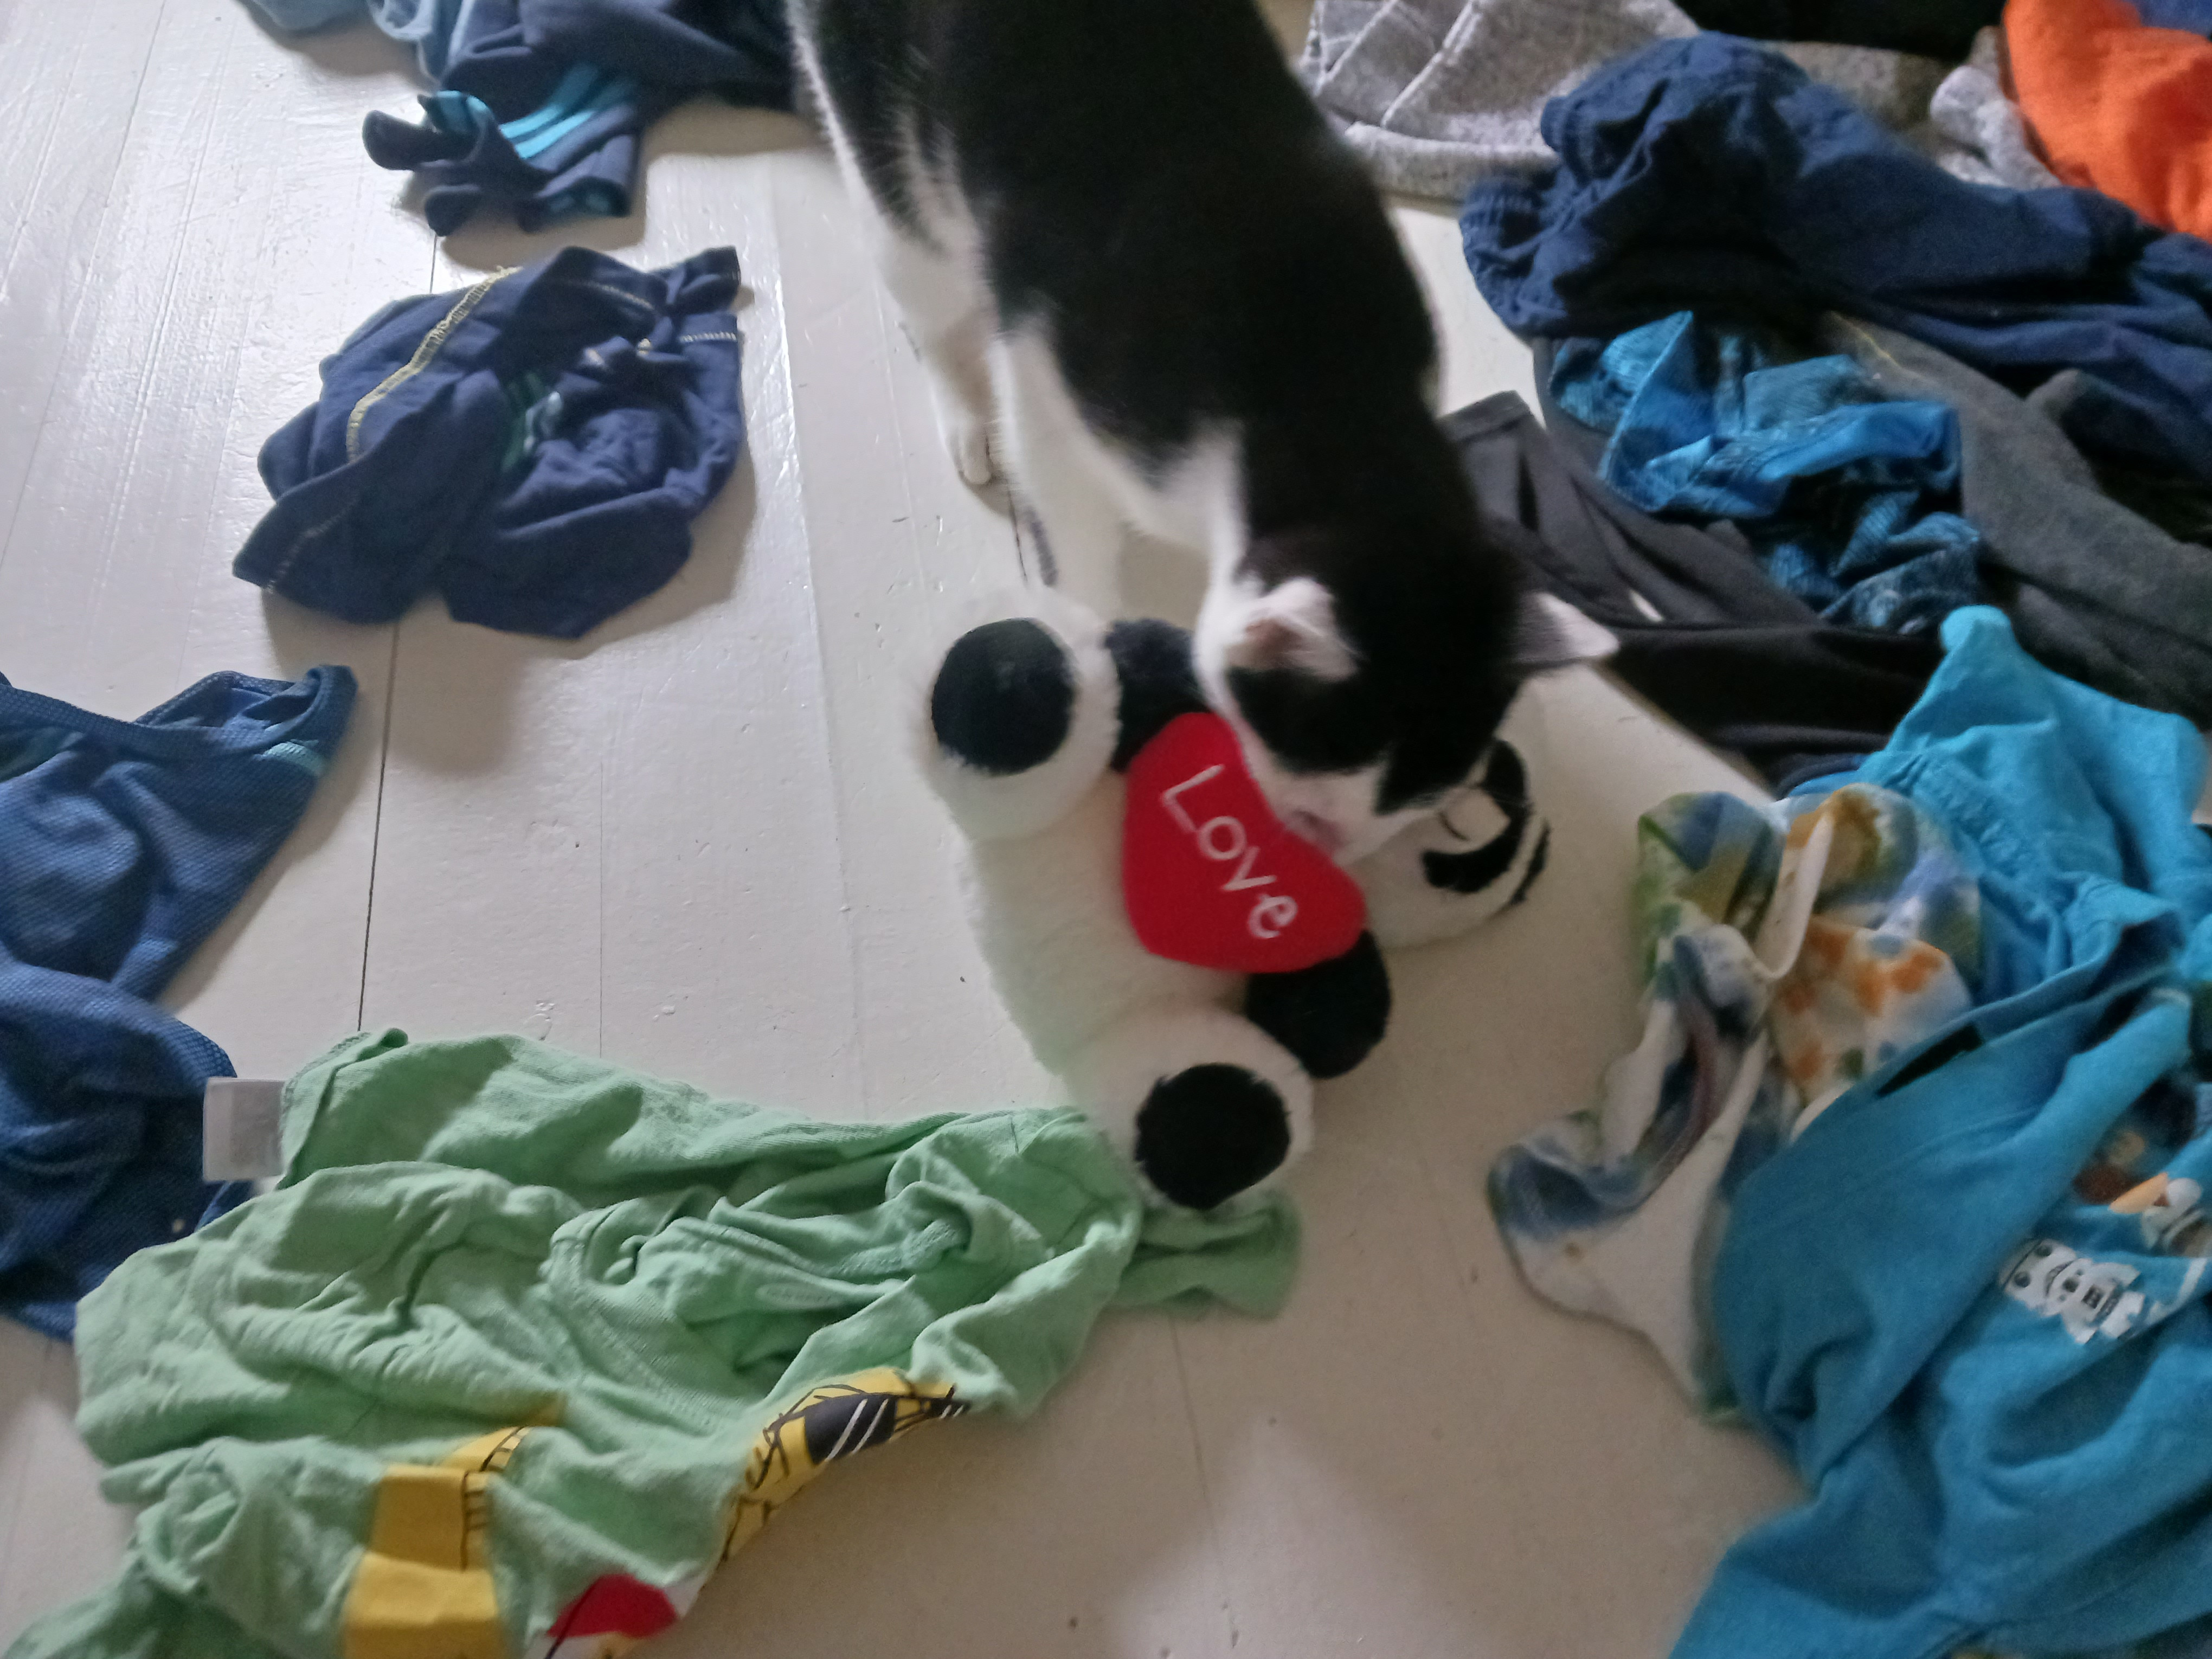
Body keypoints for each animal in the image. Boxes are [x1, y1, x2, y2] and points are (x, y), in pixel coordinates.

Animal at [791, 0, 1611, 863]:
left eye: (1430, 808)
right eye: (1313, 819)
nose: (1335, 860)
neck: (1333, 397)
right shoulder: (1053, 392)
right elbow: (1069, 523)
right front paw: (1097, 638)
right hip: (894, 160)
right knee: (923, 286)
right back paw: (962, 414)